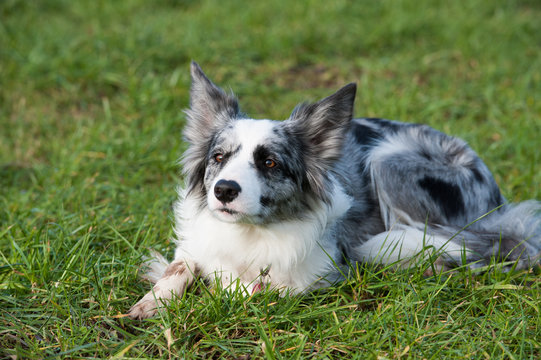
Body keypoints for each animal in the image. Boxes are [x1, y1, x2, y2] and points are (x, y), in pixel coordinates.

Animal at [127, 63, 540, 320]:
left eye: (270, 163)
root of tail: (497, 199)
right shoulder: (195, 242)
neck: (249, 233)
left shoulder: (316, 271)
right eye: (218, 157)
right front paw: (153, 303)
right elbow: (179, 266)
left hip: (388, 160)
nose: (224, 190)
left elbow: (263, 289)